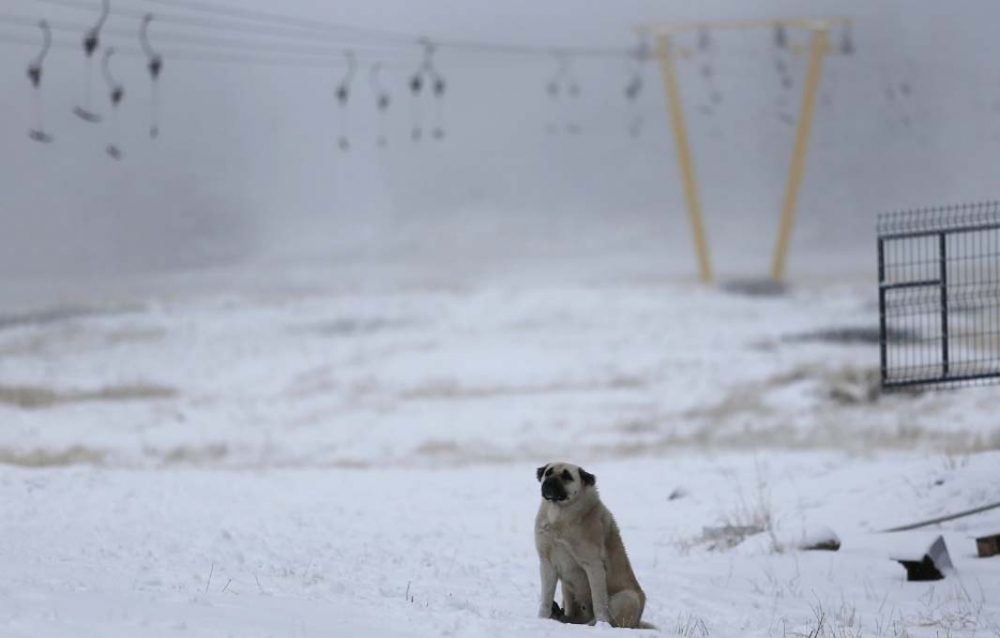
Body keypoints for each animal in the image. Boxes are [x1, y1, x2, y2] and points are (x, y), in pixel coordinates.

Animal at [532, 464, 648, 632]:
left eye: (567, 476)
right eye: (548, 473)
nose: (549, 483)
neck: (560, 517)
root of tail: (637, 623)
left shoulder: (594, 565)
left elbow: (599, 602)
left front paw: (602, 625)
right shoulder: (547, 564)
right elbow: (546, 598)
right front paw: (542, 618)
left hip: (628, 597)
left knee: (596, 618)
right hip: (567, 589)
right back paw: (560, 616)